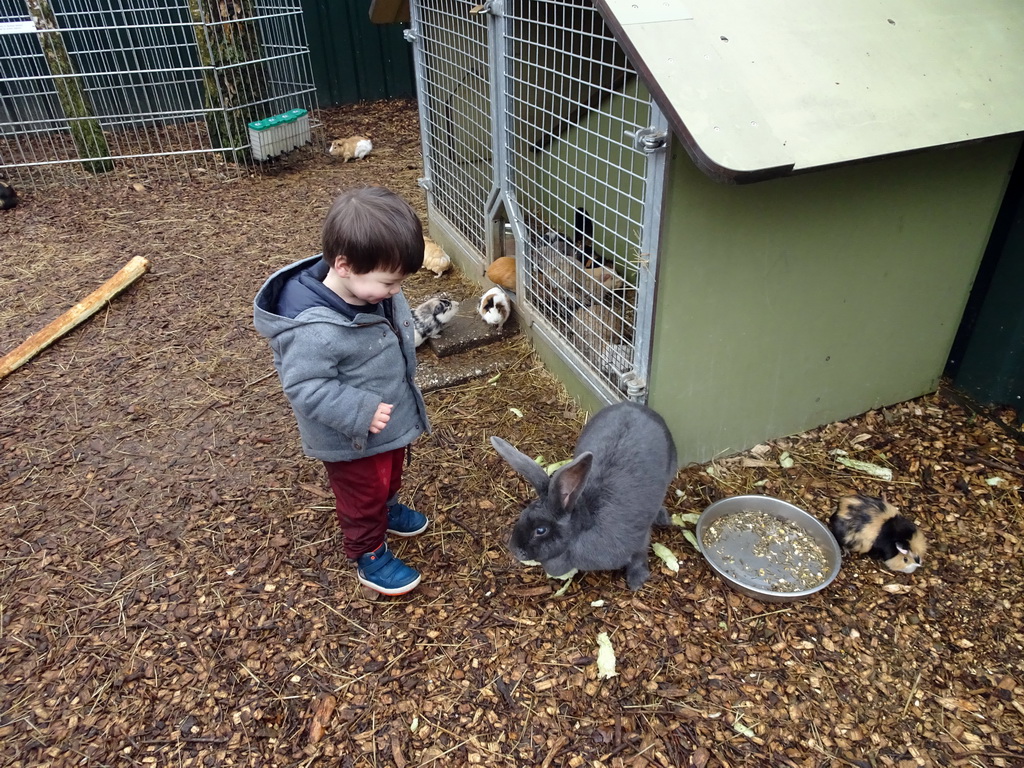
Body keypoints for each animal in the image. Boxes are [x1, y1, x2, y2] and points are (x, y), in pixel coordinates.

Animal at [489, 399, 675, 593]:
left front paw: (637, 582)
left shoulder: (640, 540)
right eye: (523, 515)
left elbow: (639, 555)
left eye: (541, 530)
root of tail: (634, 406)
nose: (514, 549)